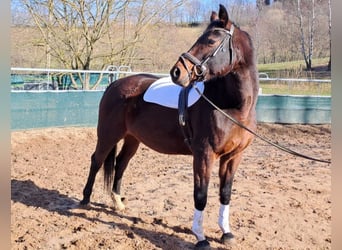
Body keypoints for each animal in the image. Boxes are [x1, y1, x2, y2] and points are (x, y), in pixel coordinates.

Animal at [81, 4, 256, 249]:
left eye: (211, 41)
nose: (177, 72)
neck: (230, 106)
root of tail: (114, 85)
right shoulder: (204, 154)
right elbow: (200, 195)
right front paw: (201, 237)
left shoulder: (233, 156)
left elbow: (225, 193)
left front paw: (226, 233)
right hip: (108, 134)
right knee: (97, 160)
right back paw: (85, 199)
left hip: (132, 139)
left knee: (120, 163)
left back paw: (118, 202)